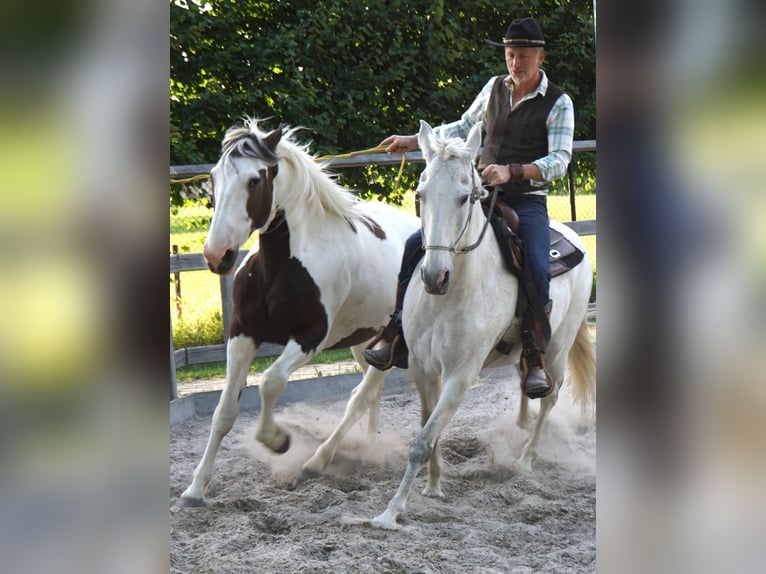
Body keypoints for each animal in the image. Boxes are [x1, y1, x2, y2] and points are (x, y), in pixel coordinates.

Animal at [179, 118, 420, 506]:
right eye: (214, 177)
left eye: (254, 180)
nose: (218, 255)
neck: (280, 266)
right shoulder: (242, 335)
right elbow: (224, 411)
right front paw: (195, 489)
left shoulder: (310, 338)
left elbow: (270, 382)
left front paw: (278, 441)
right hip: (366, 341)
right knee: (372, 393)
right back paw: (370, 447)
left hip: (396, 342)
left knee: (362, 396)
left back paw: (315, 463)